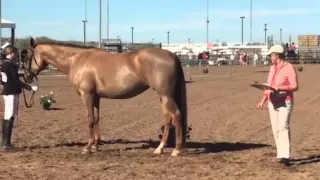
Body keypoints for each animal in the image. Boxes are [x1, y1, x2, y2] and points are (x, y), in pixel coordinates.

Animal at [23, 37, 188, 156]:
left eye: (27, 57)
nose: (26, 77)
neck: (76, 60)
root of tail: (172, 54)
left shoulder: (87, 96)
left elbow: (90, 119)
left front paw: (87, 147)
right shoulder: (96, 97)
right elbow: (96, 119)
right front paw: (96, 145)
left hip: (165, 95)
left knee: (176, 115)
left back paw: (175, 150)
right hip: (164, 97)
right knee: (168, 118)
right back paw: (161, 148)